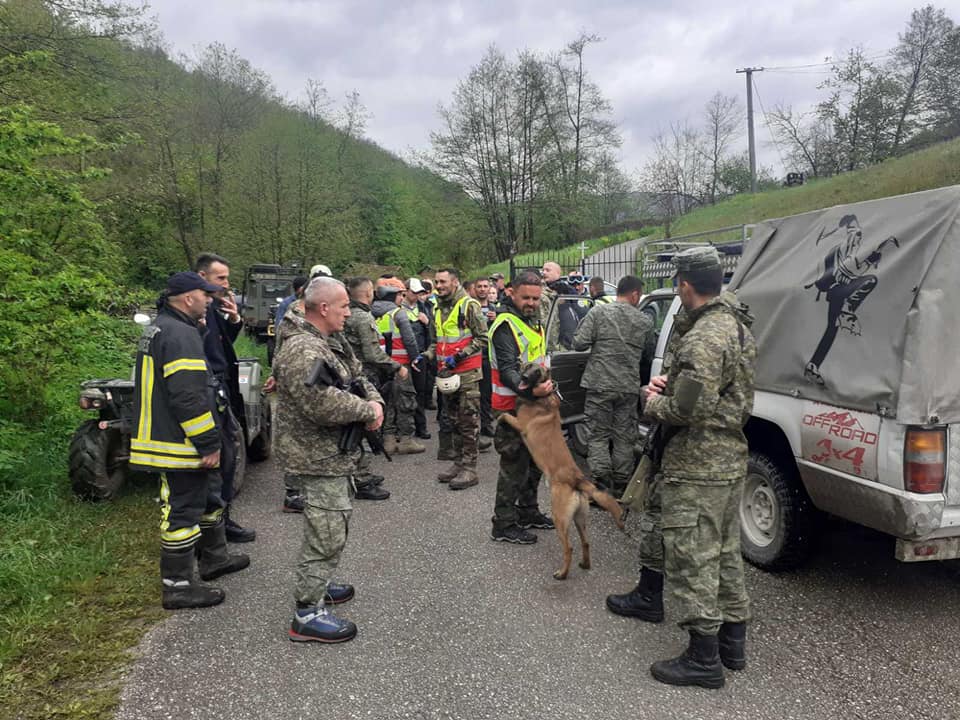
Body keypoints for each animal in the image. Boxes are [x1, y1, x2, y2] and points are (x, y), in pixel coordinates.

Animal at [498, 366, 628, 580]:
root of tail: (577, 479)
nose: (523, 377)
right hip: (580, 519)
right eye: (527, 367)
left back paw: (562, 573)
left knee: (569, 548)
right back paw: (585, 564)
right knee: (586, 542)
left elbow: (505, 416)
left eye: (537, 372)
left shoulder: (521, 425)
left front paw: (499, 419)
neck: (542, 397)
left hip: (560, 518)